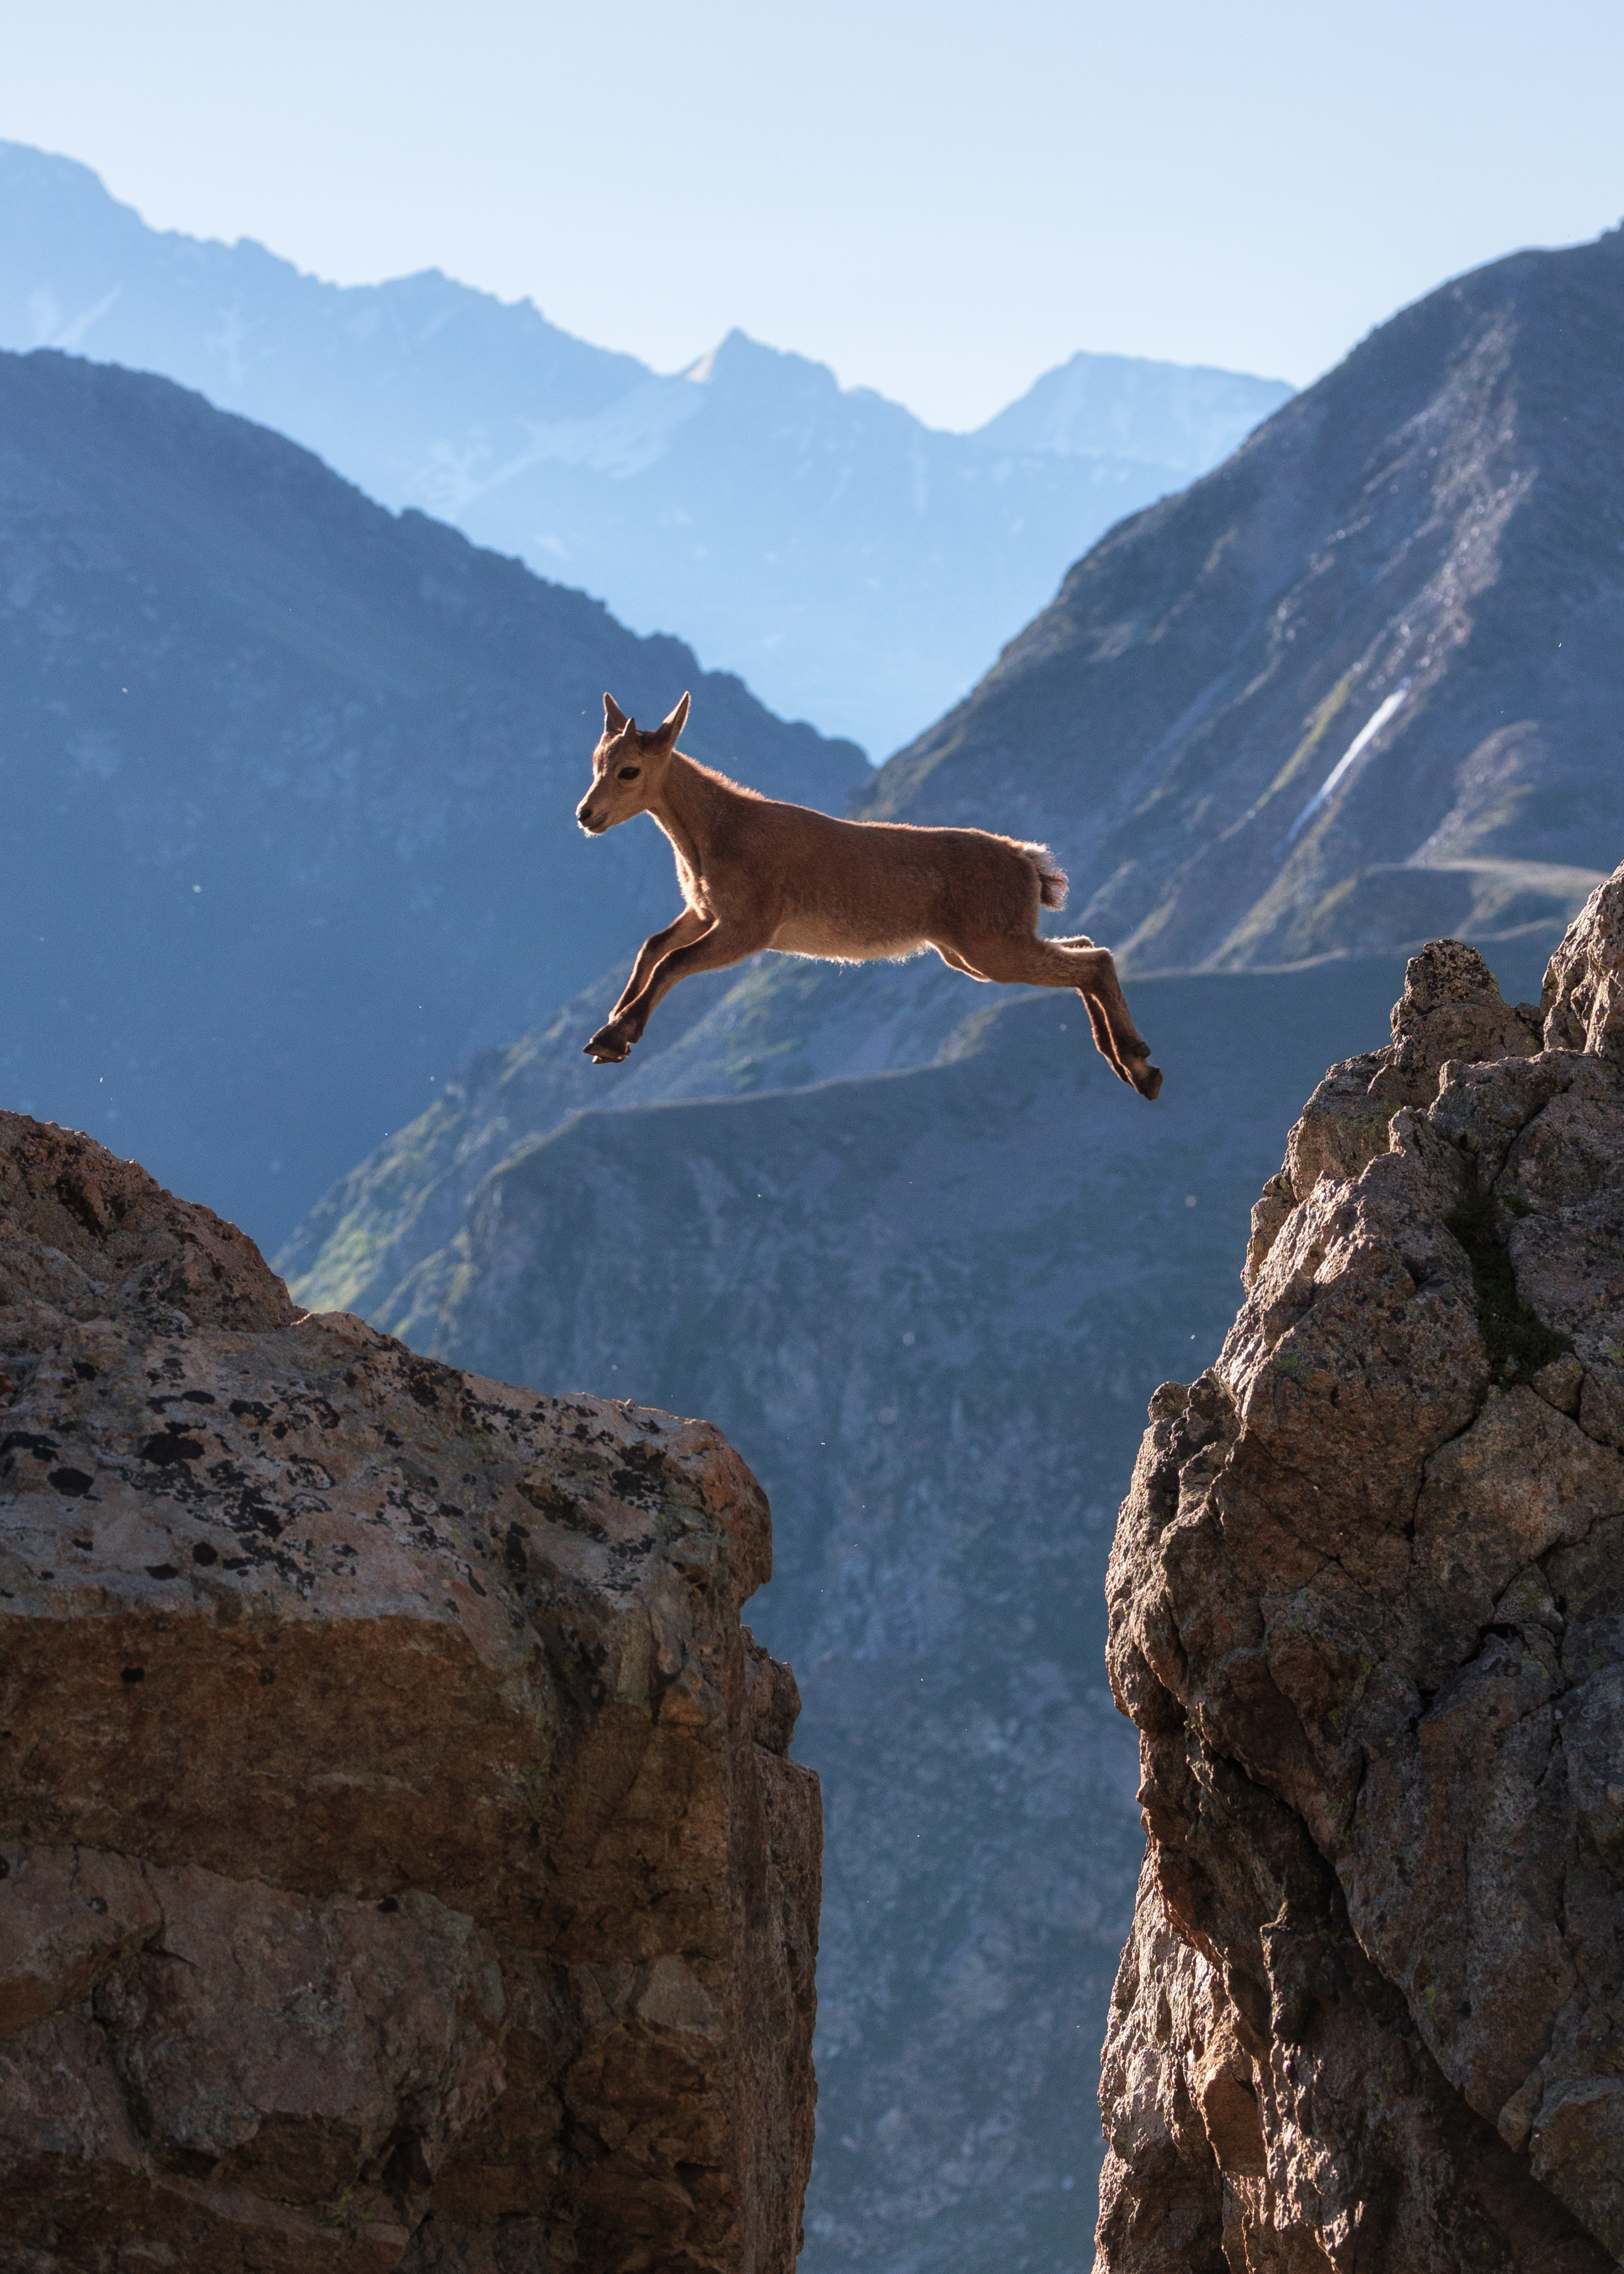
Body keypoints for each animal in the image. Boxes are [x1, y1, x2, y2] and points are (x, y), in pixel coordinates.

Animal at [575, 687, 1155, 1096]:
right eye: (596, 763)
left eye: (629, 770)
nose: (586, 814)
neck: (713, 831)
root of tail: (1027, 862)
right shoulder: (702, 911)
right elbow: (653, 946)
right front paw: (611, 1028)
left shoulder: (748, 926)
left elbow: (673, 962)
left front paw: (615, 1035)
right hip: (979, 949)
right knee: (1084, 949)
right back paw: (1129, 1062)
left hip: (990, 946)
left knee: (1096, 959)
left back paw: (1137, 1060)